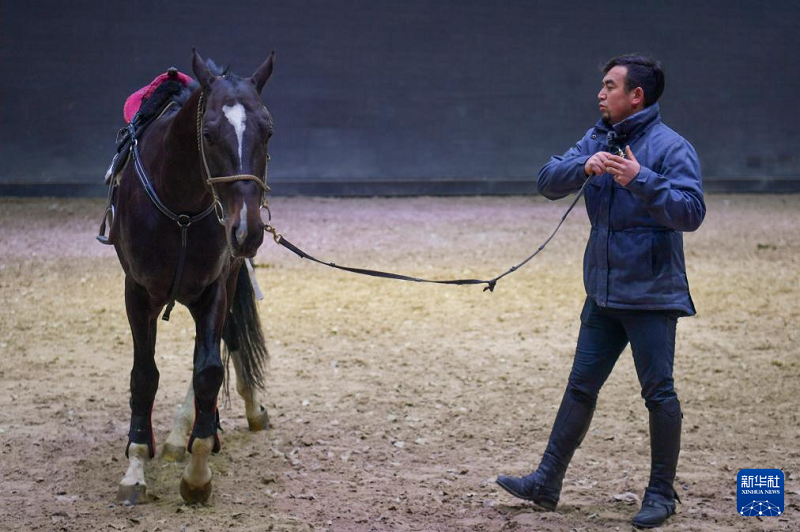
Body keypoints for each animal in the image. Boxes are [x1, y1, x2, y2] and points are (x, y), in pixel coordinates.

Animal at [107, 50, 276, 502]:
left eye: (268, 131)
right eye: (209, 134)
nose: (247, 230)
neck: (180, 202)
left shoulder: (215, 288)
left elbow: (208, 370)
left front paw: (197, 472)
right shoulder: (138, 293)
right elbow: (143, 376)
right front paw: (135, 467)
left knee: (225, 341)